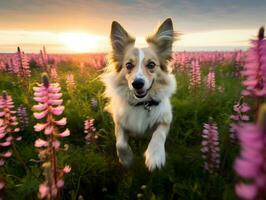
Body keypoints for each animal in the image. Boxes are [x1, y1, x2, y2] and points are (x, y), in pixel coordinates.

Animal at [101, 18, 178, 170]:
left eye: (151, 65)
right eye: (129, 65)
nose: (137, 83)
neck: (142, 103)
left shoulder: (165, 120)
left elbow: (158, 134)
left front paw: (155, 156)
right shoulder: (119, 123)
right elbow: (120, 143)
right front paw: (127, 159)